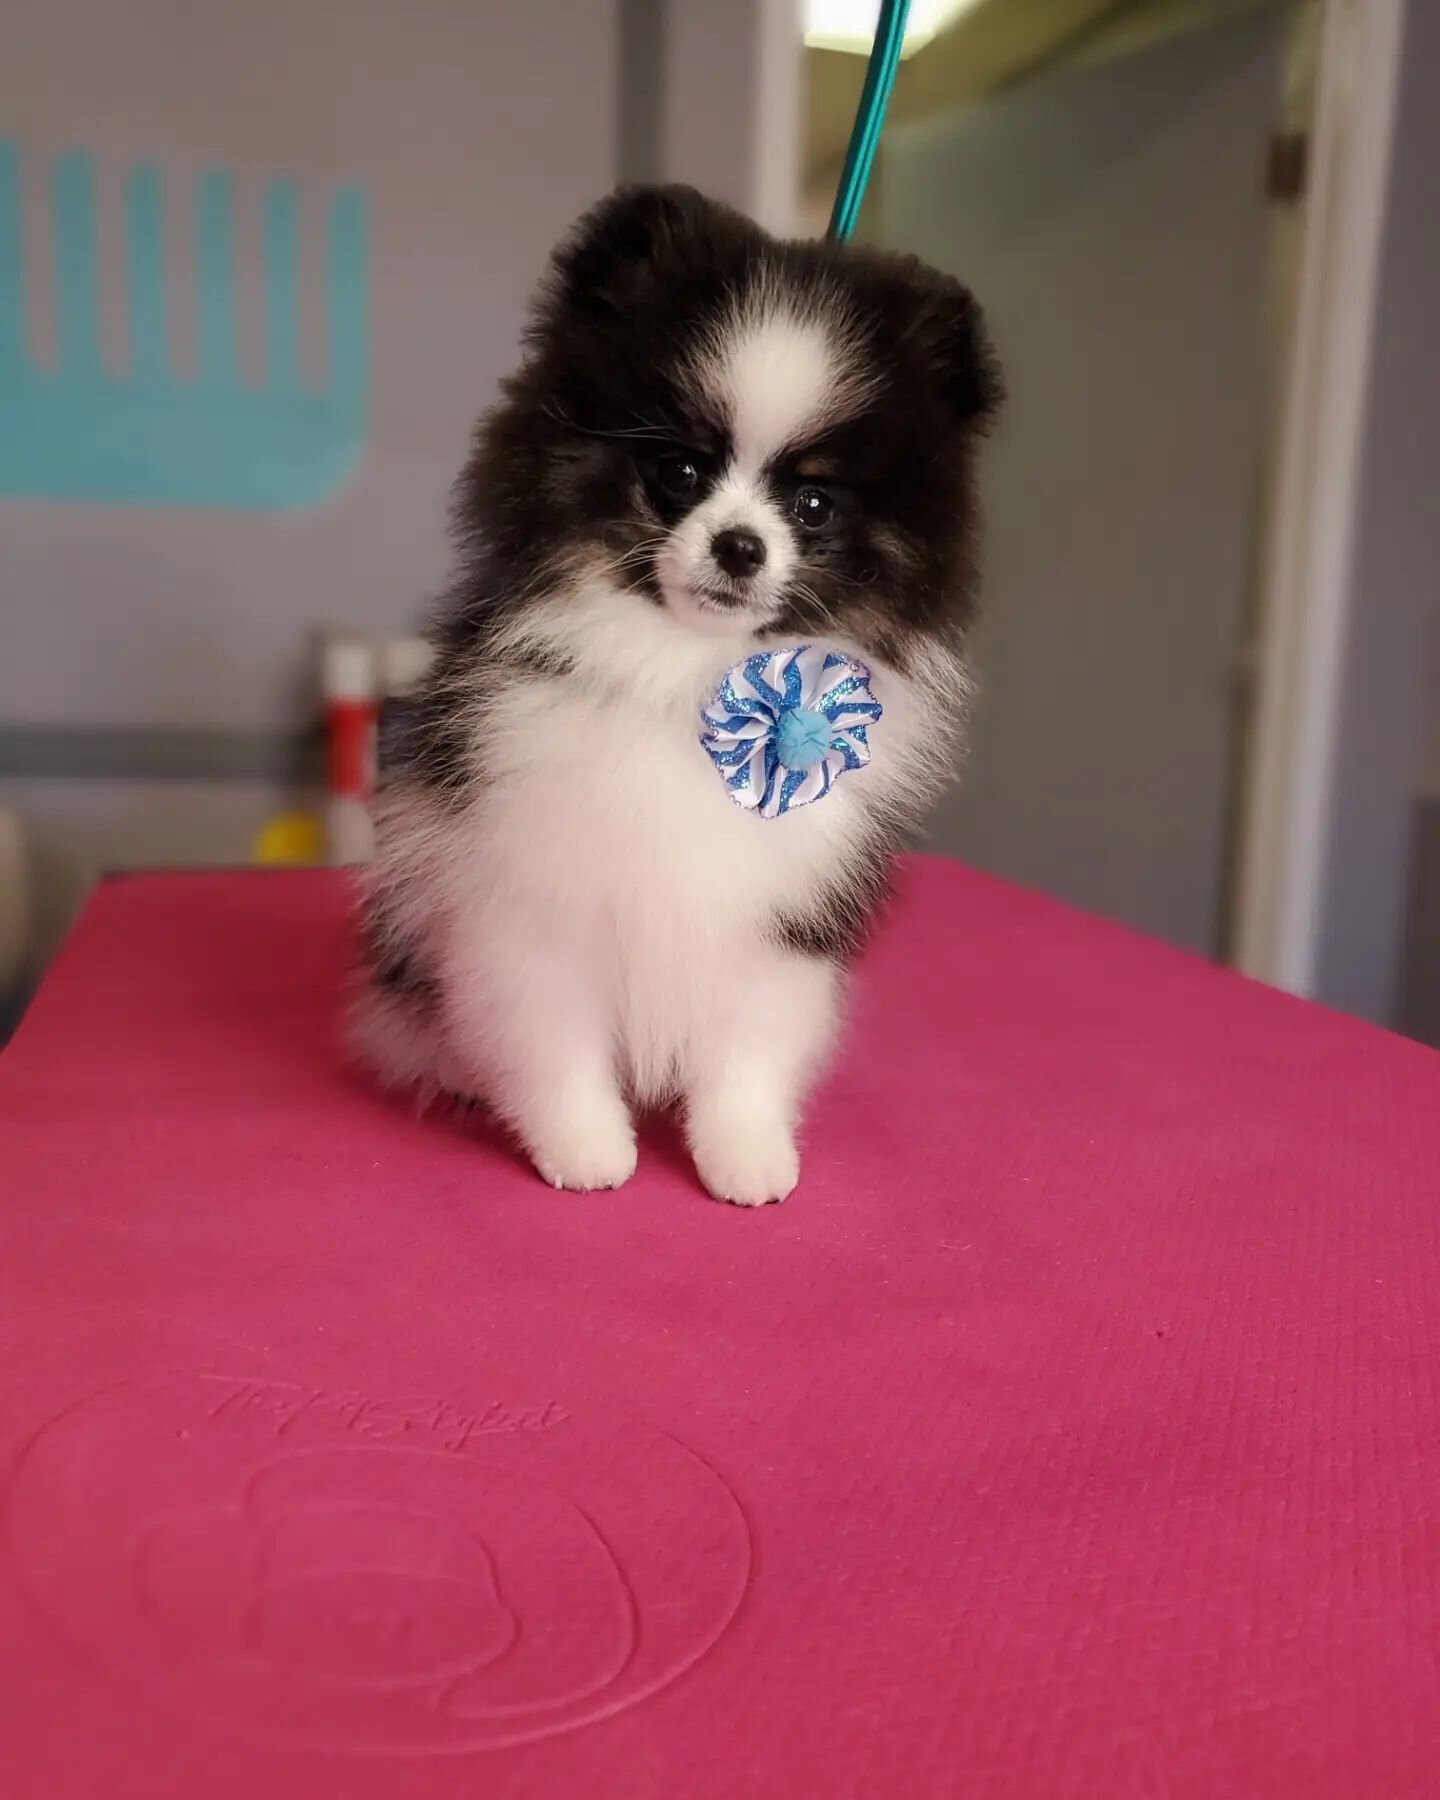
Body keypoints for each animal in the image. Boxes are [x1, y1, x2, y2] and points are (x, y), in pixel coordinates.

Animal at [354, 182, 993, 1209]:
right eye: (680, 472)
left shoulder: (781, 914)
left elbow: (749, 1050)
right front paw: (583, 1147)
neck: (685, 672)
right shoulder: (532, 892)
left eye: (815, 505)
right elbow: (552, 1038)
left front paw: (745, 1152)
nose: (739, 545)